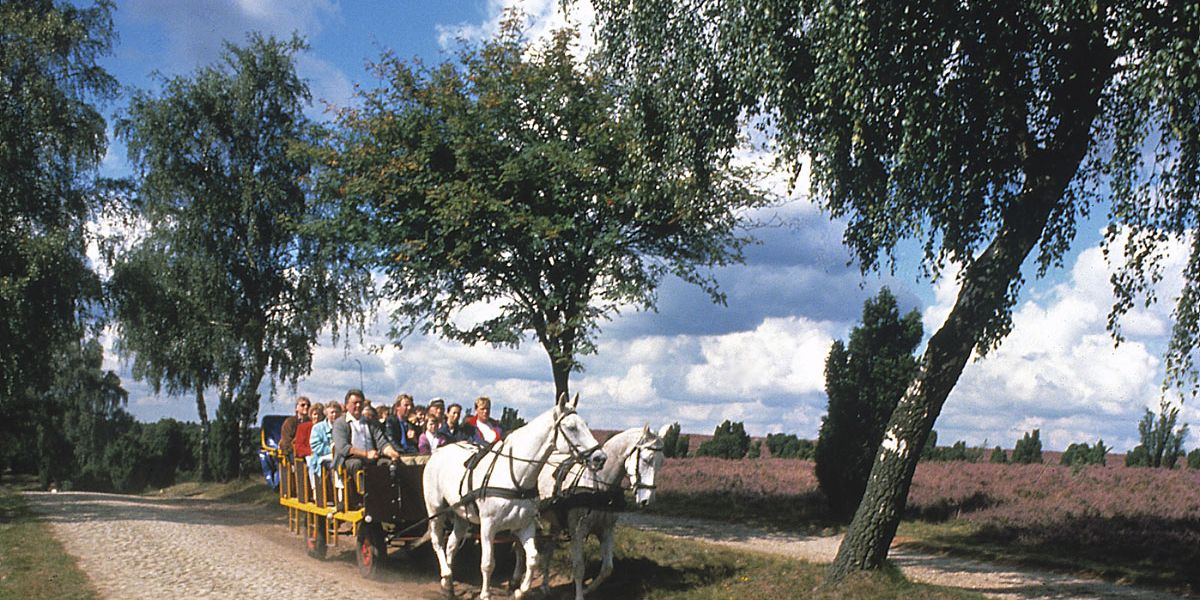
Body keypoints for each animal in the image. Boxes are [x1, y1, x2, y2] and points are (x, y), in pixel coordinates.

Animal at [424, 393, 609, 600]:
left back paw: (448, 585)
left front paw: (520, 590)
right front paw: (486, 594)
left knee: (451, 545)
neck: (515, 478)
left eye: (584, 424)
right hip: (436, 510)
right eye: (571, 427)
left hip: (461, 515)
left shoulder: (524, 525)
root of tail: (438, 452)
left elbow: (533, 559)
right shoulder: (488, 526)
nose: (600, 458)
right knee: (437, 541)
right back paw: (446, 573)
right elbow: (488, 563)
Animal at [523, 424, 672, 597]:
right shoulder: (577, 533)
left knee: (548, 551)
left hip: (556, 523)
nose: (647, 499)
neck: (599, 487)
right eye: (646, 459)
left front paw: (588, 589)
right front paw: (579, 595)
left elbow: (607, 569)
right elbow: (579, 568)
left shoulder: (606, 530)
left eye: (662, 462)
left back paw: (545, 586)